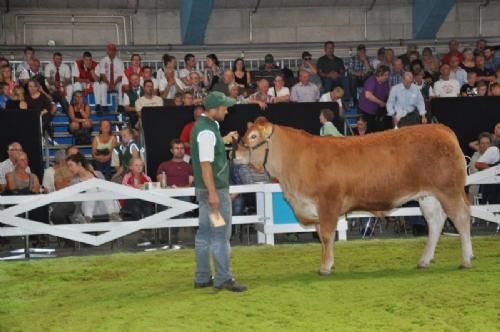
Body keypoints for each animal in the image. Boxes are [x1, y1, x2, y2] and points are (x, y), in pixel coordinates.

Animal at [234, 117, 472, 274]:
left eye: (253, 136)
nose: (234, 154)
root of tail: (441, 129)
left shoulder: (328, 203)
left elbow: (327, 235)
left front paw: (325, 267)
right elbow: (321, 235)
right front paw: (327, 263)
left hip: (449, 191)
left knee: (461, 219)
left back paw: (467, 260)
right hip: (428, 196)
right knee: (435, 222)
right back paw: (424, 260)